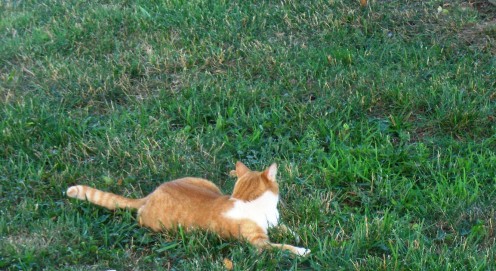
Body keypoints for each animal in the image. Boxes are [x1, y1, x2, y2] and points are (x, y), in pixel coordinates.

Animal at [66, 162, 310, 258]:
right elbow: (282, 247)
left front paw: (297, 234)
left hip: (206, 183)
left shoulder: (275, 223)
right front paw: (301, 250)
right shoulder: (260, 244)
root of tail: (150, 195)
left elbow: (286, 229)